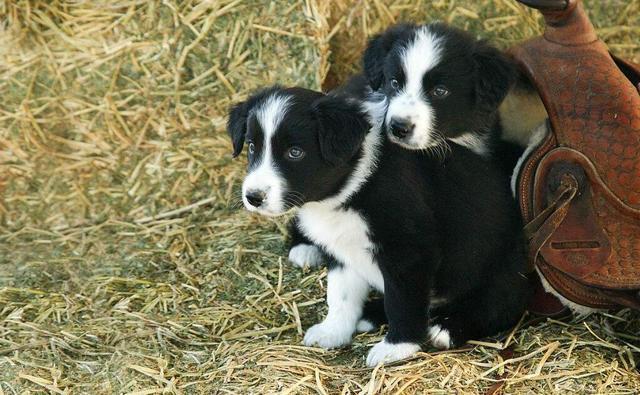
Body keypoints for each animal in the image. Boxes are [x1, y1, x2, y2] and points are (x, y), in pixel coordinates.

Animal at [228, 81, 532, 368]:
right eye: (252, 147)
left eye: (295, 152)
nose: (253, 197)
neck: (352, 189)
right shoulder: (343, 249)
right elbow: (340, 294)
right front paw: (333, 331)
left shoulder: (409, 252)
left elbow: (403, 301)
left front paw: (397, 347)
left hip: (504, 271)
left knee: (498, 307)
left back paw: (447, 328)